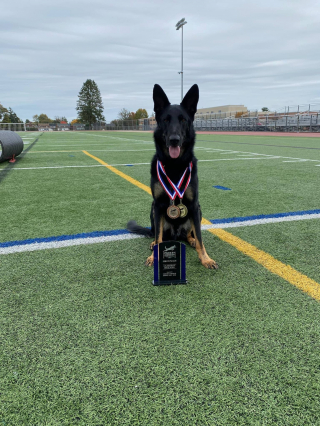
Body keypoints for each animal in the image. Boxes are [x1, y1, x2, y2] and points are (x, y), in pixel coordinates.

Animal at [126, 84, 219, 270]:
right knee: (158, 235)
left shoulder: (194, 205)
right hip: (153, 210)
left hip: (197, 211)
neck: (174, 165)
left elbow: (200, 237)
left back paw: (190, 240)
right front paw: (154, 257)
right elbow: (158, 237)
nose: (174, 140)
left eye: (183, 120)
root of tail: (177, 235)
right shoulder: (158, 205)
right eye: (166, 120)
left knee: (190, 234)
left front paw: (205, 258)